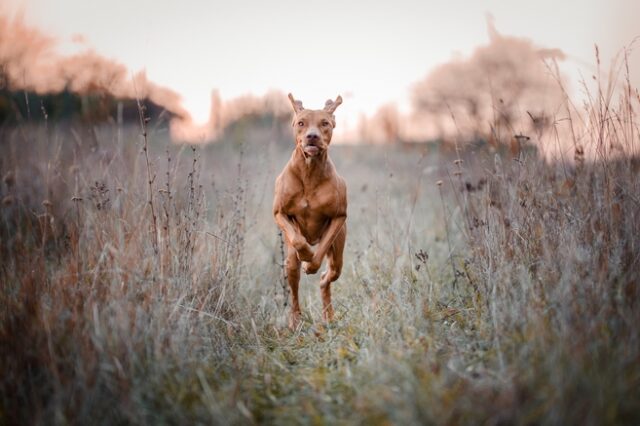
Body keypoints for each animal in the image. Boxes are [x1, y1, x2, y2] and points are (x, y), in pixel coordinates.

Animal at [272, 94, 348, 330]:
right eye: (301, 123)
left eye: (324, 123)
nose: (312, 136)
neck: (310, 171)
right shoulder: (279, 213)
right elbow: (297, 240)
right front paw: (305, 254)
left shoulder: (339, 217)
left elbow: (321, 250)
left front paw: (311, 264)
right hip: (289, 263)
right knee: (294, 289)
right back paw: (295, 321)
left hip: (338, 258)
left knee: (327, 277)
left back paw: (328, 316)